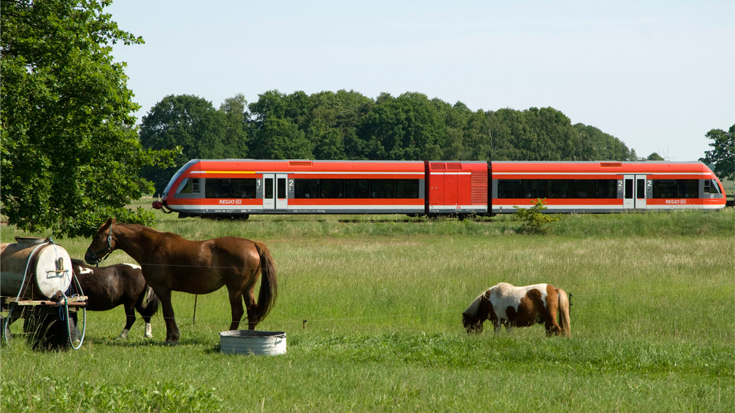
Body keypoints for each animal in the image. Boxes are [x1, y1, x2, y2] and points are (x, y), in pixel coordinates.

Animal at [83, 219, 278, 344]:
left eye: (97, 236)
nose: (88, 256)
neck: (152, 246)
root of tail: (253, 244)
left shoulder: (162, 289)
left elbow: (168, 313)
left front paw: (172, 338)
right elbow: (168, 313)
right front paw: (171, 336)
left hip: (235, 290)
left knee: (237, 312)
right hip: (247, 289)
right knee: (252, 311)